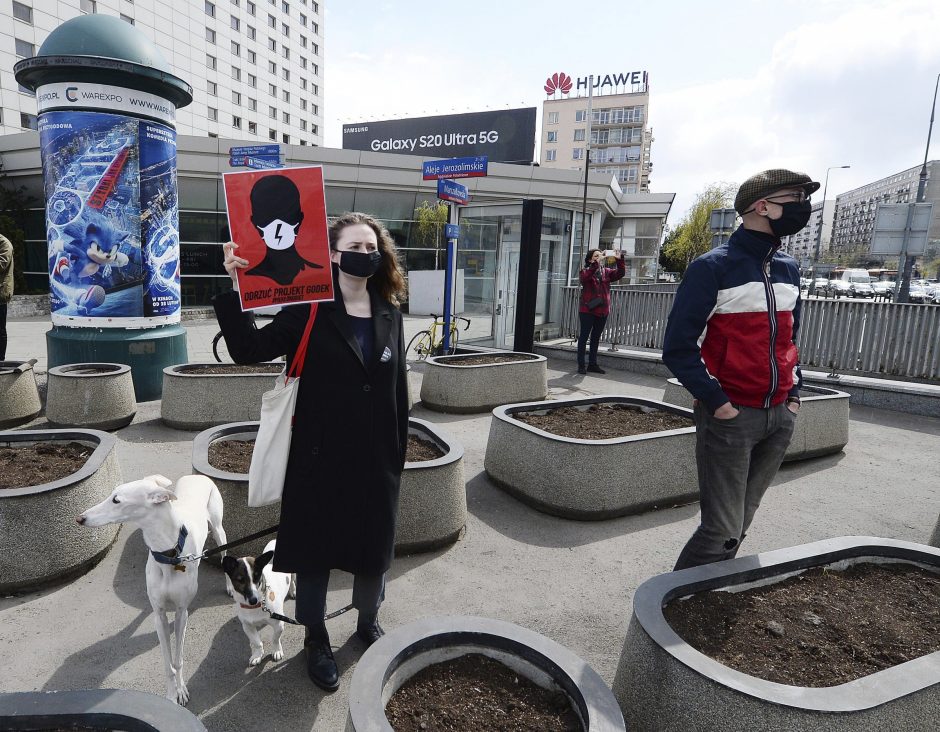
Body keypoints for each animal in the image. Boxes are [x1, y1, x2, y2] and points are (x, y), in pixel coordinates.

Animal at [75, 474, 226, 704]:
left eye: (116, 500)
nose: (80, 518)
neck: (169, 554)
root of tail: (198, 475)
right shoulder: (159, 615)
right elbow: (167, 662)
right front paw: (172, 696)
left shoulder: (182, 612)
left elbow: (178, 658)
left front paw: (181, 690)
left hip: (219, 529)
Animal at [220, 536, 294, 668]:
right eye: (240, 580)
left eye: (257, 577)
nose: (253, 600)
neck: (256, 606)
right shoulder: (247, 626)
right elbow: (256, 642)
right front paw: (257, 654)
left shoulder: (279, 624)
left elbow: (275, 638)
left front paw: (277, 650)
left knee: (293, 580)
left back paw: (293, 590)